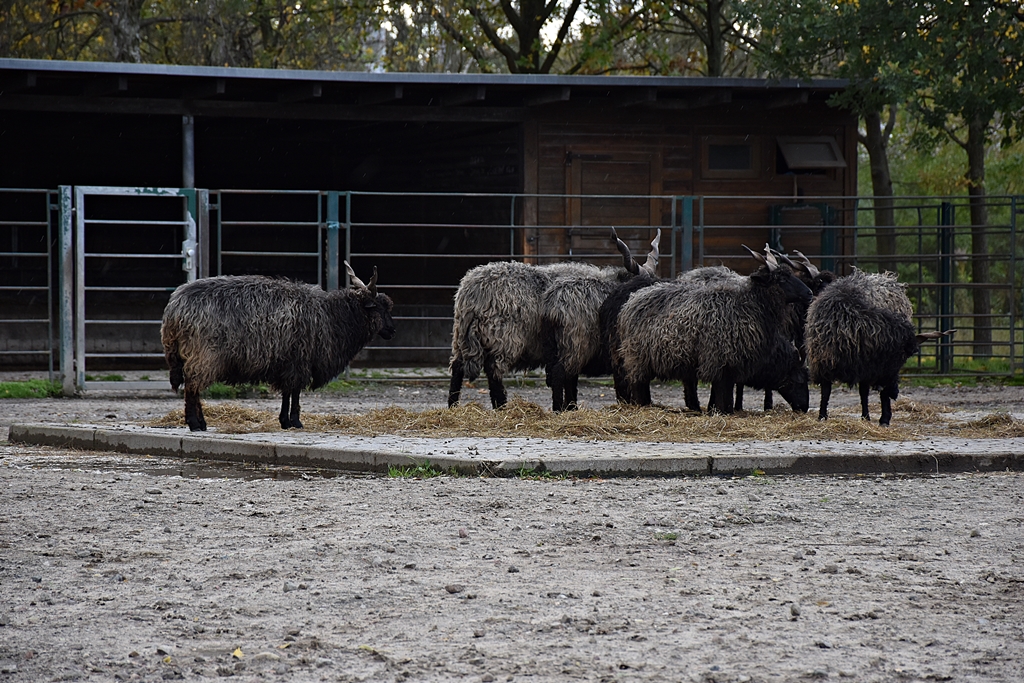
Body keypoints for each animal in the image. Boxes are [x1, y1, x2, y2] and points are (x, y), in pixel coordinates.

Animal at [161, 262, 395, 431]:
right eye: (380, 307)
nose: (392, 331)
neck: (333, 315)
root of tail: (174, 310)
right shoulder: (300, 361)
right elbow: (295, 393)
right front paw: (295, 421)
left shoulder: (289, 362)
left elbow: (287, 393)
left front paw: (285, 421)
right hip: (203, 355)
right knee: (192, 388)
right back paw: (195, 424)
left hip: (190, 356)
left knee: (194, 388)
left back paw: (202, 423)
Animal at [447, 231, 647, 410]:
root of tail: (471, 292)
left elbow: (571, 380)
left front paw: (571, 407)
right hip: (503, 337)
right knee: (493, 369)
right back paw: (501, 406)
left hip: (461, 336)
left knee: (457, 367)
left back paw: (453, 405)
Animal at [542, 229, 660, 411]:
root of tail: (553, 305)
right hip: (574, 347)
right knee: (559, 374)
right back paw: (559, 410)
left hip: (554, 348)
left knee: (566, 377)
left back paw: (571, 408)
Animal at [616, 246, 812, 414]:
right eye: (782, 279)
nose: (810, 293)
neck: (747, 305)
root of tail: (633, 299)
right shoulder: (719, 359)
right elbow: (722, 392)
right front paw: (721, 411)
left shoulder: (731, 364)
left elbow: (726, 391)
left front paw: (721, 411)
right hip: (638, 357)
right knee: (639, 384)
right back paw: (643, 406)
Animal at [804, 267, 951, 426]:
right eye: (901, 356)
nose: (895, 393)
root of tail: (886, 277)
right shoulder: (823, 363)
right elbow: (826, 392)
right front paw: (822, 416)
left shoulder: (867, 368)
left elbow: (864, 392)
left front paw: (866, 417)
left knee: (879, 393)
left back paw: (884, 419)